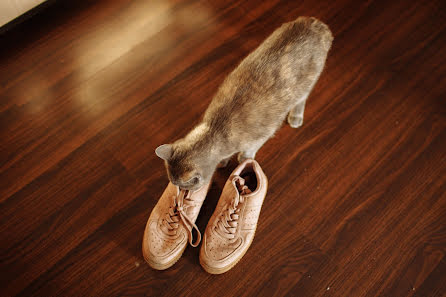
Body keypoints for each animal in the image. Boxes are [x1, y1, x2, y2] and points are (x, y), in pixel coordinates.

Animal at [155, 16, 332, 190]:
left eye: (183, 187)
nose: (180, 192)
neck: (215, 129)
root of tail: (317, 24)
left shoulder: (263, 134)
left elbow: (248, 152)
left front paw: (244, 159)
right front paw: (223, 161)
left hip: (306, 85)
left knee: (302, 99)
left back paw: (296, 116)